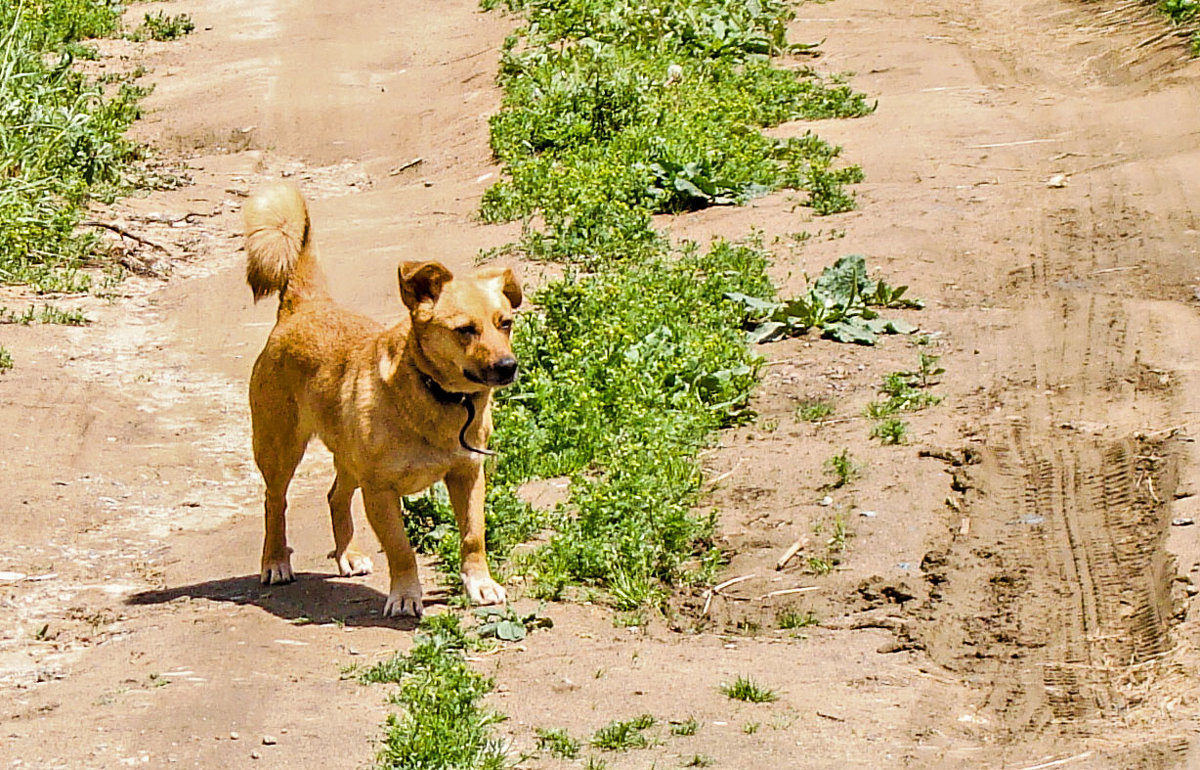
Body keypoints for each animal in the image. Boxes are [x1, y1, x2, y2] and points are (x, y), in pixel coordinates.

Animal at [242, 181, 520, 618]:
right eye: (465, 330)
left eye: (505, 323)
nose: (509, 366)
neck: (437, 396)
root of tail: (304, 306)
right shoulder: (380, 491)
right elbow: (401, 549)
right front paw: (406, 595)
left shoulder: (469, 475)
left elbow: (473, 536)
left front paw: (479, 584)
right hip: (279, 448)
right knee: (275, 502)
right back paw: (275, 561)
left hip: (347, 456)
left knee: (335, 496)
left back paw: (348, 554)